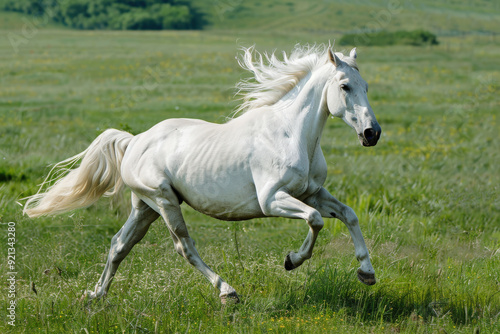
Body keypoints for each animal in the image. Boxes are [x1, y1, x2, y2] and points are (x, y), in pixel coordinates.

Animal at [25, 43, 380, 302]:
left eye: (365, 86)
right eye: (345, 86)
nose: (372, 133)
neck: (291, 133)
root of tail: (134, 141)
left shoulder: (312, 193)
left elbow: (348, 215)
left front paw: (367, 273)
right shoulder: (272, 200)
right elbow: (315, 221)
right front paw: (292, 260)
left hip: (145, 207)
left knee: (119, 245)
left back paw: (96, 296)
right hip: (164, 201)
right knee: (184, 247)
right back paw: (227, 291)